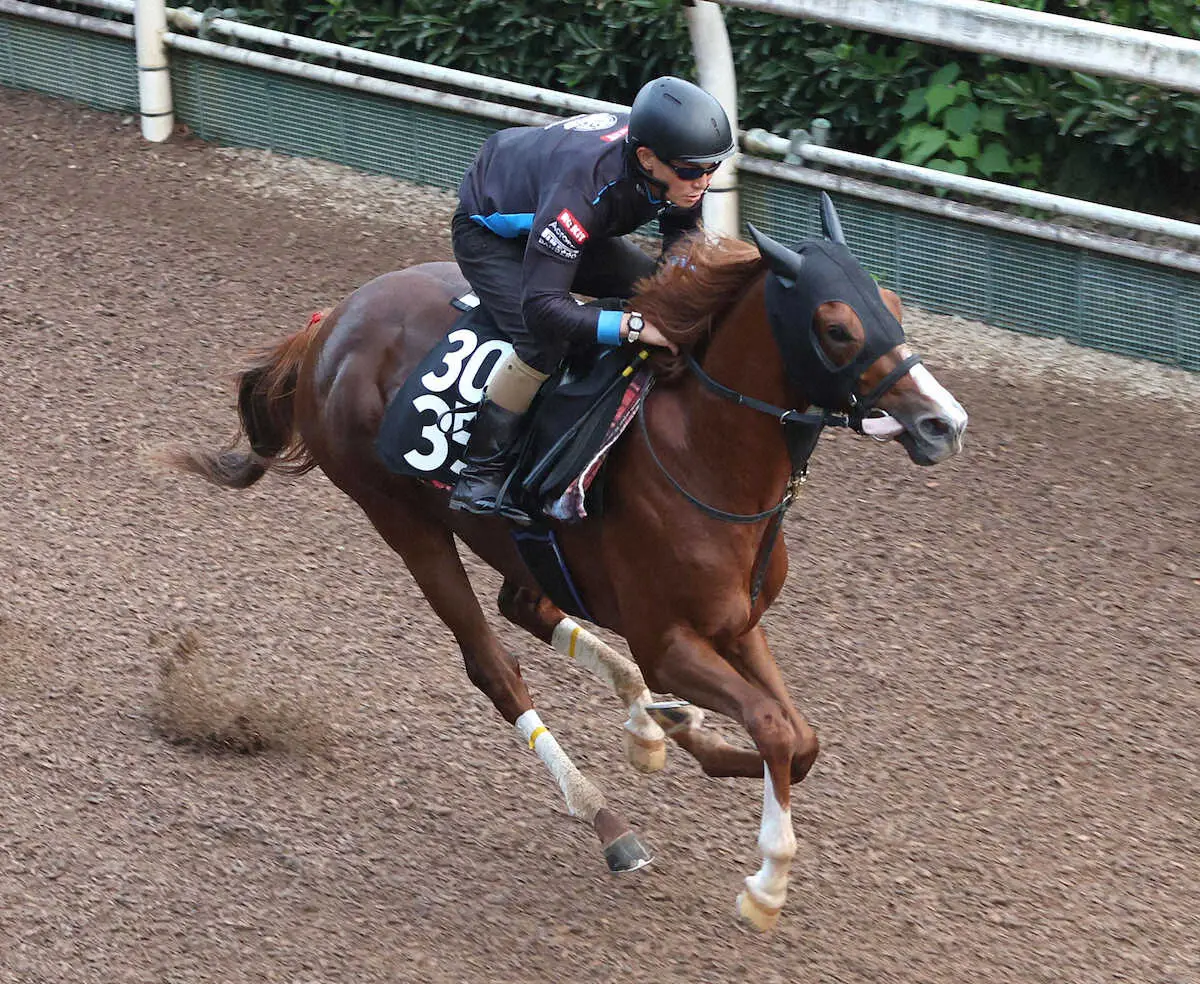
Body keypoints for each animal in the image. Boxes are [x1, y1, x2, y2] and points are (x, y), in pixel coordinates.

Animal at [175, 194, 964, 931]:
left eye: (893, 307)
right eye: (837, 328)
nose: (944, 423)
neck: (699, 455)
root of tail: (329, 323)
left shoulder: (738, 624)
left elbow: (800, 740)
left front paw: (691, 739)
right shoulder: (668, 640)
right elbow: (773, 727)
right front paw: (765, 883)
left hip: (513, 544)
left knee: (525, 606)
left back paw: (652, 725)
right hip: (403, 519)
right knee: (493, 666)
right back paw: (610, 822)